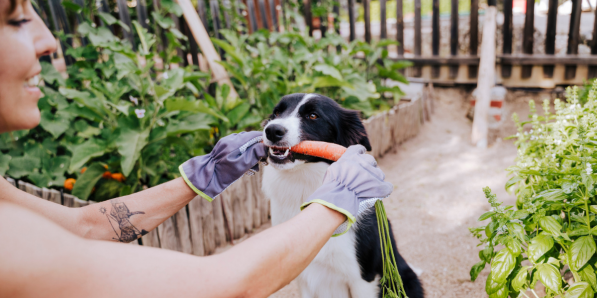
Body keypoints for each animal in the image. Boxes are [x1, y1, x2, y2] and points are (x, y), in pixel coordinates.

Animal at [260, 93, 424, 298]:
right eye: (276, 113)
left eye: (313, 116)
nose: (272, 130)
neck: (305, 186)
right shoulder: (304, 277)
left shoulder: (363, 279)